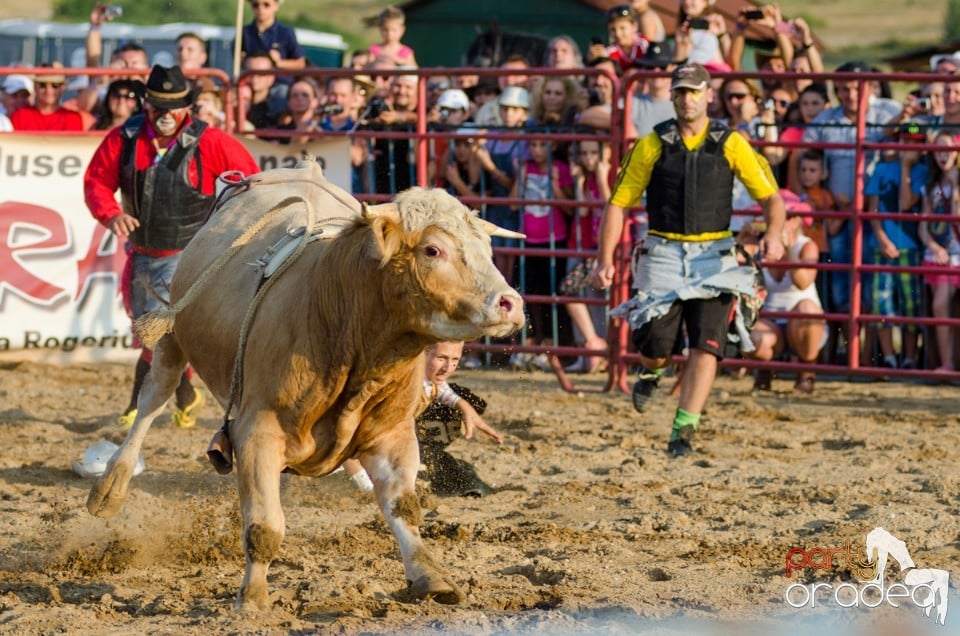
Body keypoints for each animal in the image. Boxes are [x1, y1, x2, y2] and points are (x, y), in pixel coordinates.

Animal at [87, 159, 524, 612]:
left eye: (487, 249)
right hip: (174, 329)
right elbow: (264, 526)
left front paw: (430, 578)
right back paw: (110, 486)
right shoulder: (256, 432)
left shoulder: (393, 434)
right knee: (155, 395)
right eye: (433, 250)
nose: (511, 303)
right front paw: (253, 598)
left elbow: (403, 508)